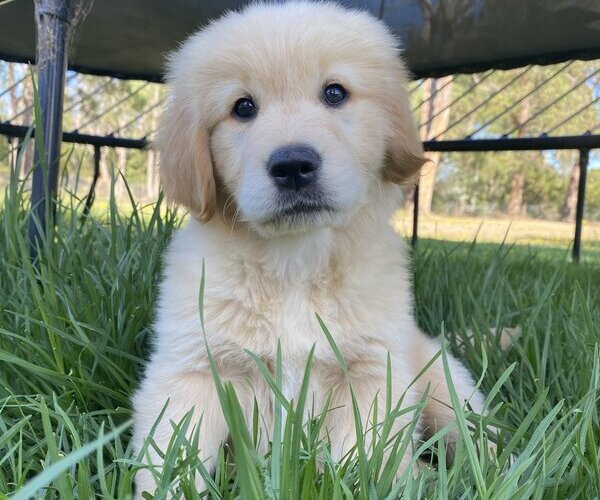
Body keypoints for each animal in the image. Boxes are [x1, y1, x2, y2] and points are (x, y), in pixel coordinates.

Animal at [134, 0, 490, 496]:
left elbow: (362, 462)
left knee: (477, 439)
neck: (295, 264)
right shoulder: (192, 371)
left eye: (335, 93)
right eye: (243, 107)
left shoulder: (370, 372)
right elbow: (173, 460)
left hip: (444, 382)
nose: (292, 166)